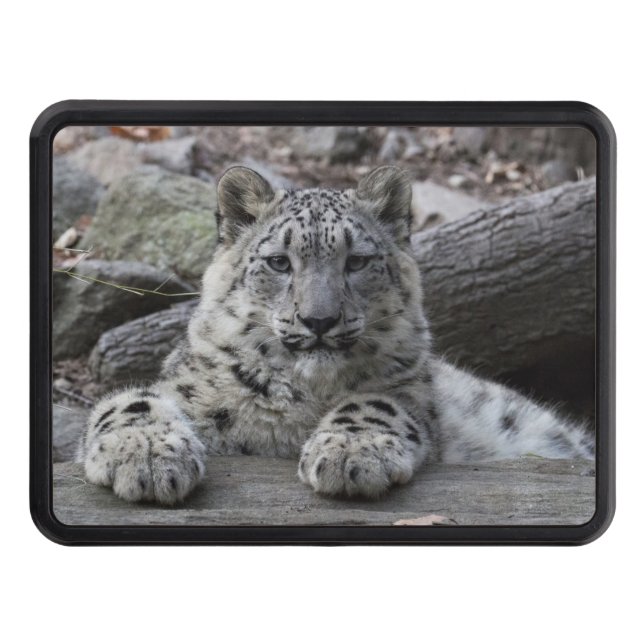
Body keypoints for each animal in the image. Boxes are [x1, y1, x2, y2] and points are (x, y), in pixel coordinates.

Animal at [77, 165, 595, 504]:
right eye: (279, 262)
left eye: (358, 261)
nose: (319, 320)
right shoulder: (184, 387)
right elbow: (128, 401)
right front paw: (145, 458)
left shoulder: (413, 393)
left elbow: (377, 403)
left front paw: (351, 453)